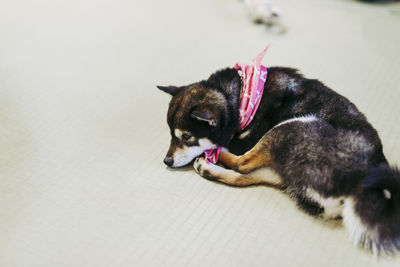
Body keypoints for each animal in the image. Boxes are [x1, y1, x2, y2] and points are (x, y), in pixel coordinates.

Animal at [159, 55, 400, 255]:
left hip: (292, 125)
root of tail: (360, 182)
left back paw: (217, 156)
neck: (242, 96)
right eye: (171, 134)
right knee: (243, 177)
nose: (166, 161)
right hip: (282, 165)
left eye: (187, 137)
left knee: (242, 164)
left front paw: (216, 148)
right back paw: (209, 169)